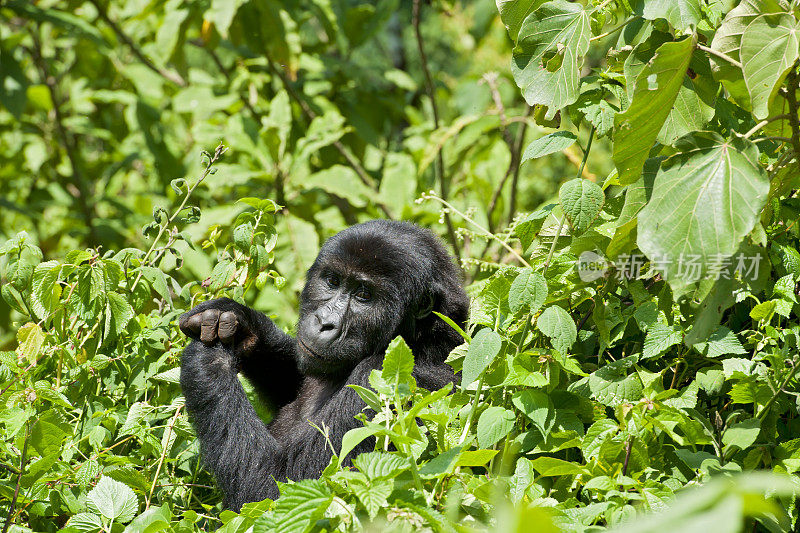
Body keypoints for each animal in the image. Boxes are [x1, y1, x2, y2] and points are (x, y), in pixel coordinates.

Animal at [180, 218, 468, 510]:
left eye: (364, 295)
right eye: (332, 281)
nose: (324, 322)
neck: (422, 340)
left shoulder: (386, 381)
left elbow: (281, 489)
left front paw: (209, 361)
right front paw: (243, 325)